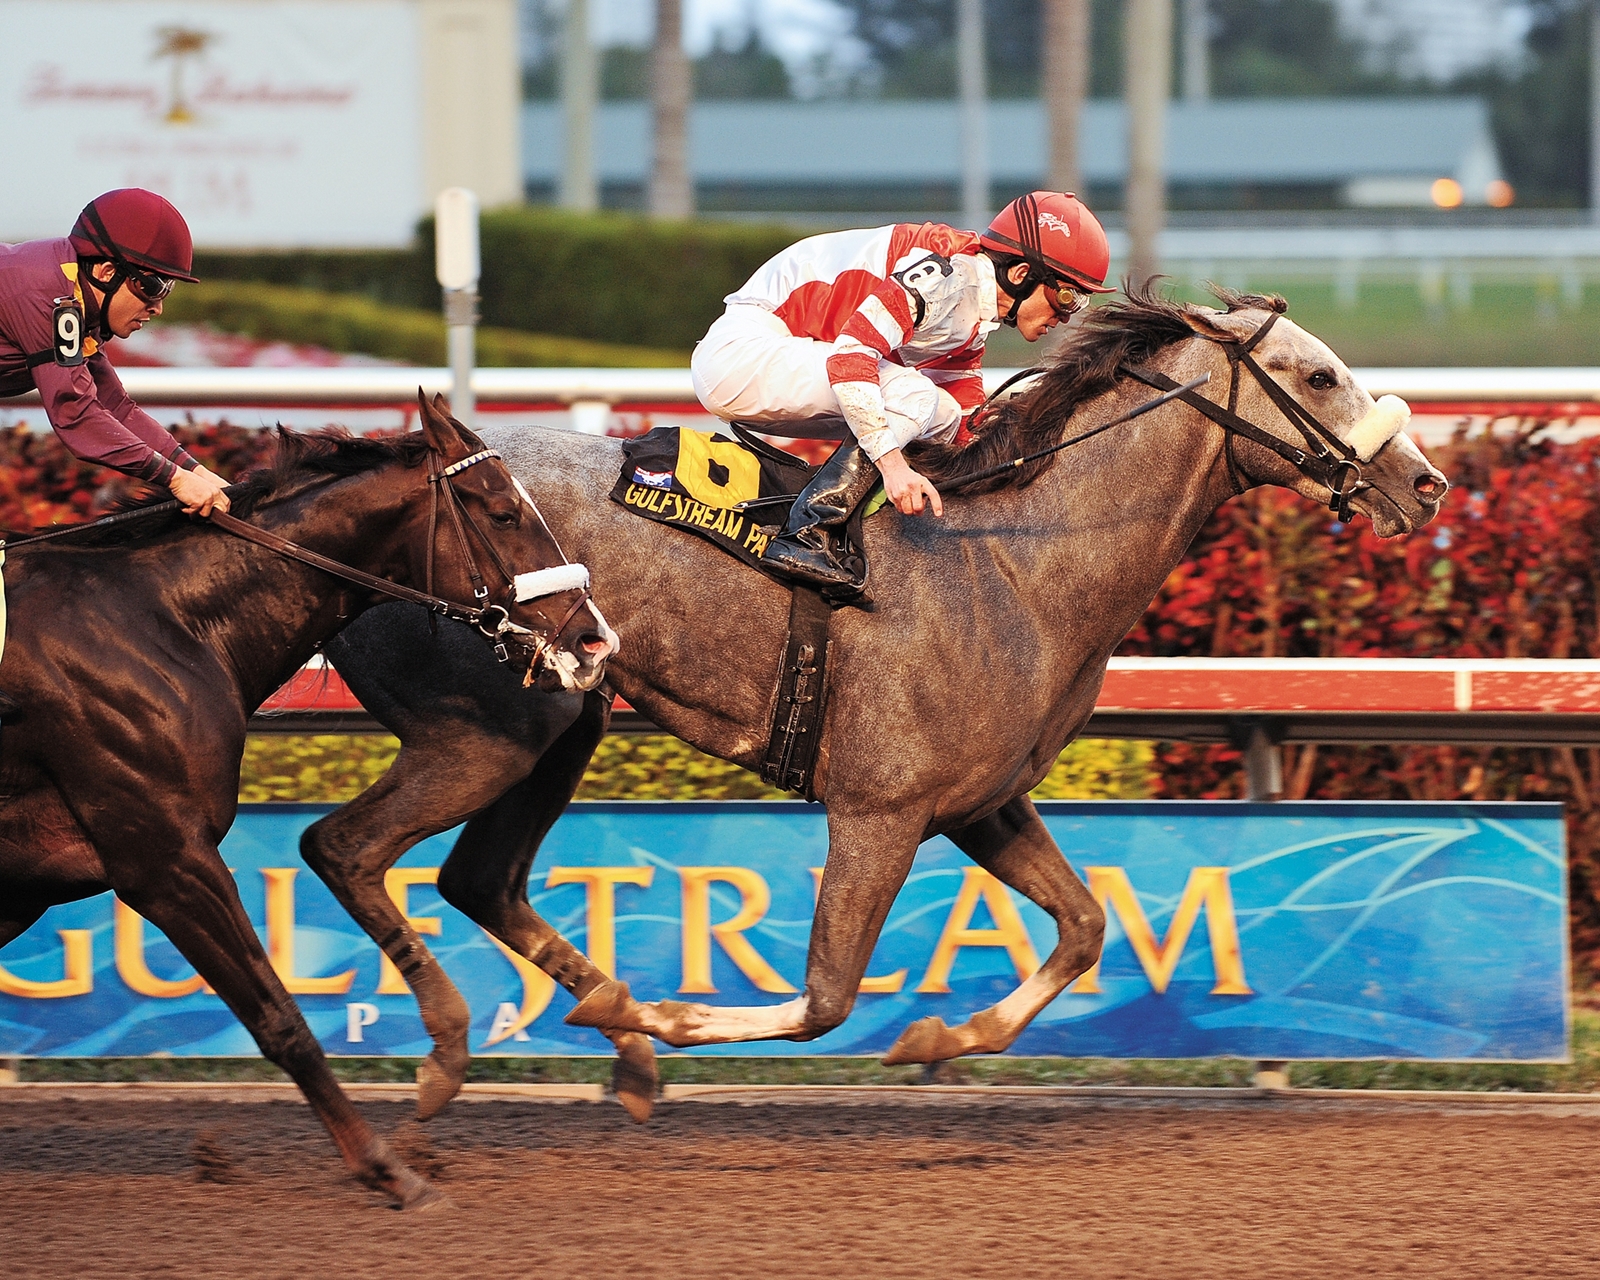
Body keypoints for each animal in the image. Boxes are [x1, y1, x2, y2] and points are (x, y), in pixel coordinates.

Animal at [0, 396, 611, 1209]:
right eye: (505, 512)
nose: (593, 641)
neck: (165, 622)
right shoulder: (166, 860)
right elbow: (280, 1019)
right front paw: (389, 1169)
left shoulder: (27, 885)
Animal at [302, 289, 1452, 1120]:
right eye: (1320, 373)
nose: (1427, 483)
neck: (1016, 559)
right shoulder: (881, 809)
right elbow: (826, 998)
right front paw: (682, 1010)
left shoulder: (982, 803)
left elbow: (1084, 928)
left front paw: (945, 1036)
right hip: (485, 730)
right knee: (344, 848)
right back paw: (467, 1050)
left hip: (560, 719)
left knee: (476, 878)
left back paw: (617, 1034)